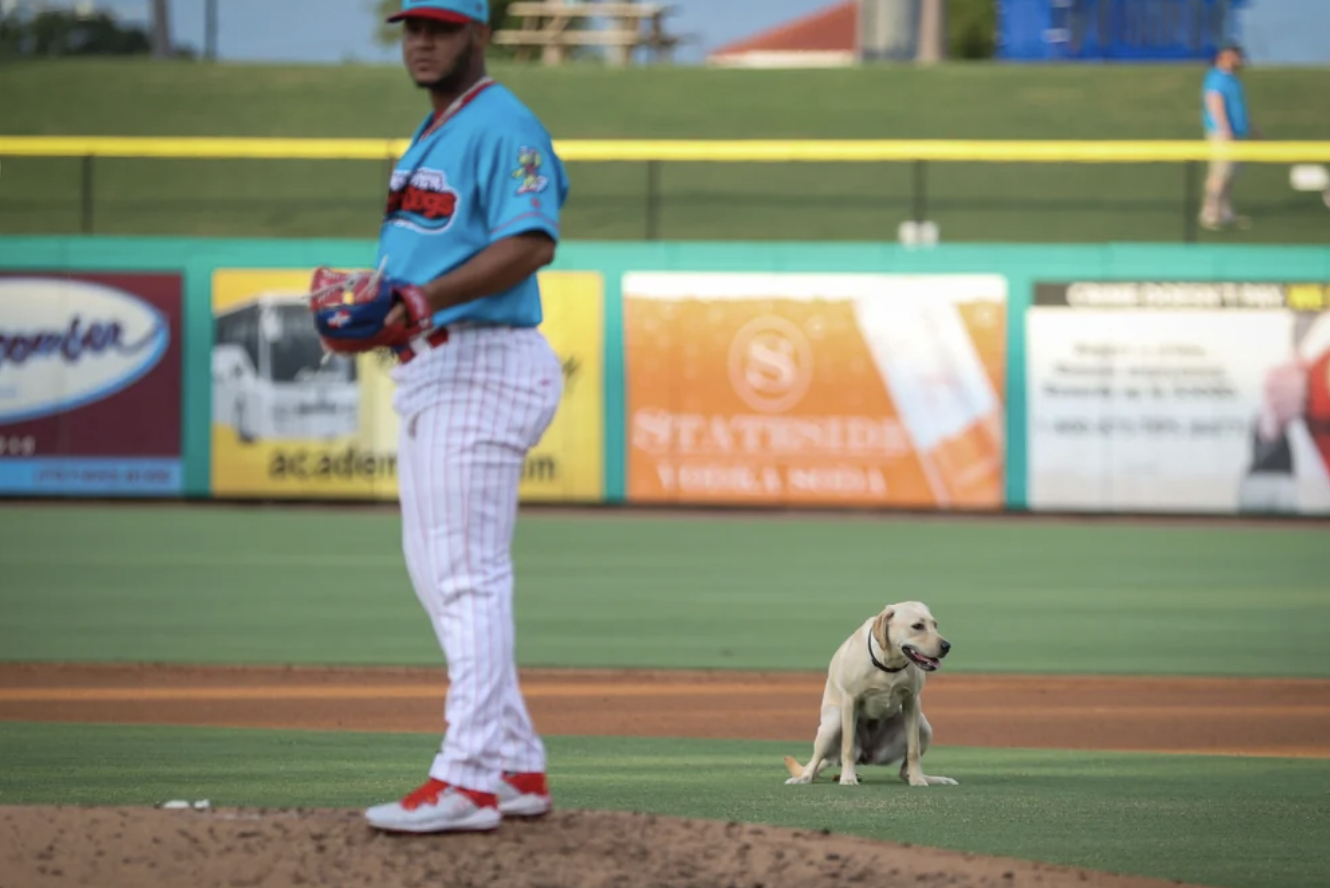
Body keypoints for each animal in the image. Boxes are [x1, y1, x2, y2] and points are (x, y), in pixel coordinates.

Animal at [776, 600, 957, 786]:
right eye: (917, 626)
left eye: (935, 625)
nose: (947, 646)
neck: (888, 665)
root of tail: (868, 753)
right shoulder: (850, 700)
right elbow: (847, 747)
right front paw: (848, 778)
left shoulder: (912, 700)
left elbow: (914, 749)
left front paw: (918, 779)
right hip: (832, 724)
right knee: (815, 762)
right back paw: (804, 777)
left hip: (924, 726)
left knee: (903, 771)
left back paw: (930, 778)